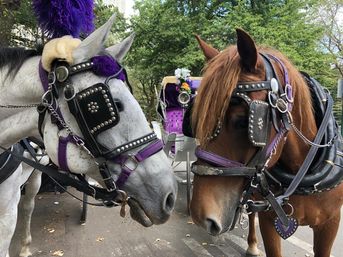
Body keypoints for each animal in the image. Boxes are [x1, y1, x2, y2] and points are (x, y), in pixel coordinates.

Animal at [188, 30, 343, 256]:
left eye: (244, 121)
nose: (200, 217)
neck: (301, 174)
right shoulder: (269, 220)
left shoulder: (330, 223)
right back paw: (252, 244)